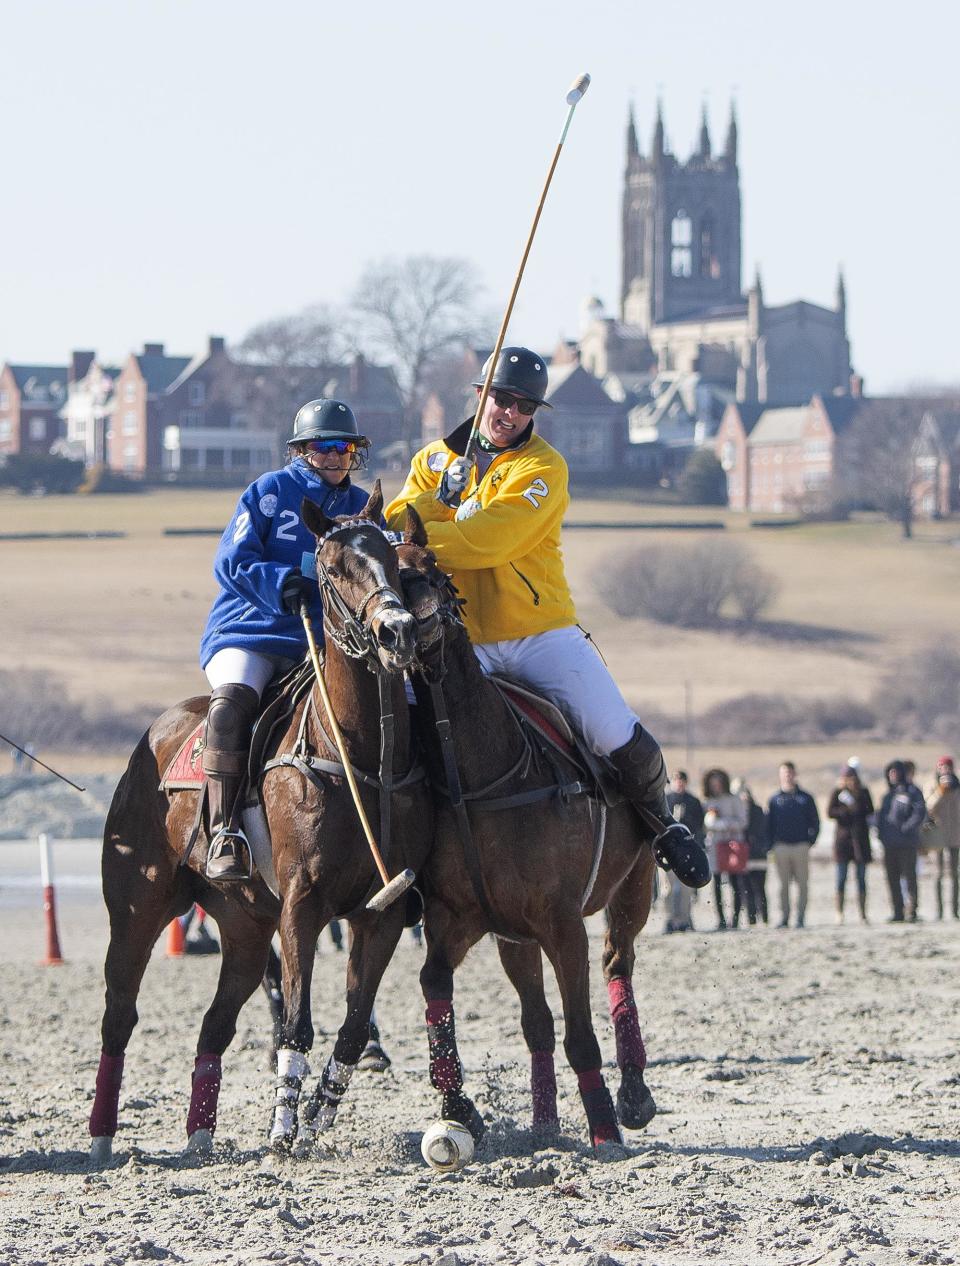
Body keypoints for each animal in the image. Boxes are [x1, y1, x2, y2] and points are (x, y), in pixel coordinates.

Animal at [89, 486, 428, 1164]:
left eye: (392, 560)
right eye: (333, 569)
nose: (397, 630)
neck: (355, 752)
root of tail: (157, 733)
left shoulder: (379, 913)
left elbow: (353, 1026)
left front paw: (321, 1110)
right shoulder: (303, 905)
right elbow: (297, 1022)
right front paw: (284, 1130)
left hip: (244, 926)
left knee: (215, 1023)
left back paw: (199, 1136)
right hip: (138, 905)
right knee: (120, 1013)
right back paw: (103, 1140)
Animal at [397, 508, 663, 1154]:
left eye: (435, 570)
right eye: (386, 572)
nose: (407, 637)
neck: (478, 777)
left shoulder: (562, 924)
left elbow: (580, 1033)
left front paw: (604, 1129)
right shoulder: (461, 919)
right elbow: (436, 983)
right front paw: (457, 1110)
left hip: (634, 886)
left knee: (618, 963)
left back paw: (633, 1095)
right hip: (514, 937)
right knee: (537, 1023)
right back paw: (544, 1125)